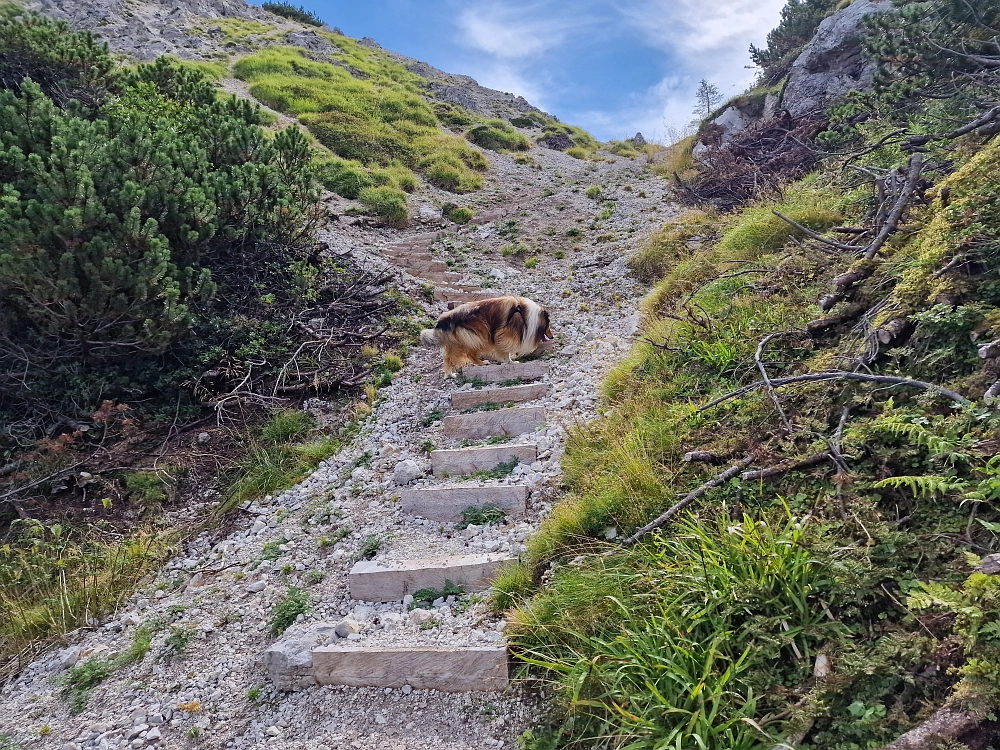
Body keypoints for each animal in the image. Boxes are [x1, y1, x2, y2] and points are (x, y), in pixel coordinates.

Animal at [418, 296, 552, 374]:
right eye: (548, 324)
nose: (552, 337)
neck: (525, 314)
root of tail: (443, 320)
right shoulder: (505, 334)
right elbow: (506, 350)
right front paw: (510, 361)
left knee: (453, 356)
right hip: (477, 337)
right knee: (464, 355)